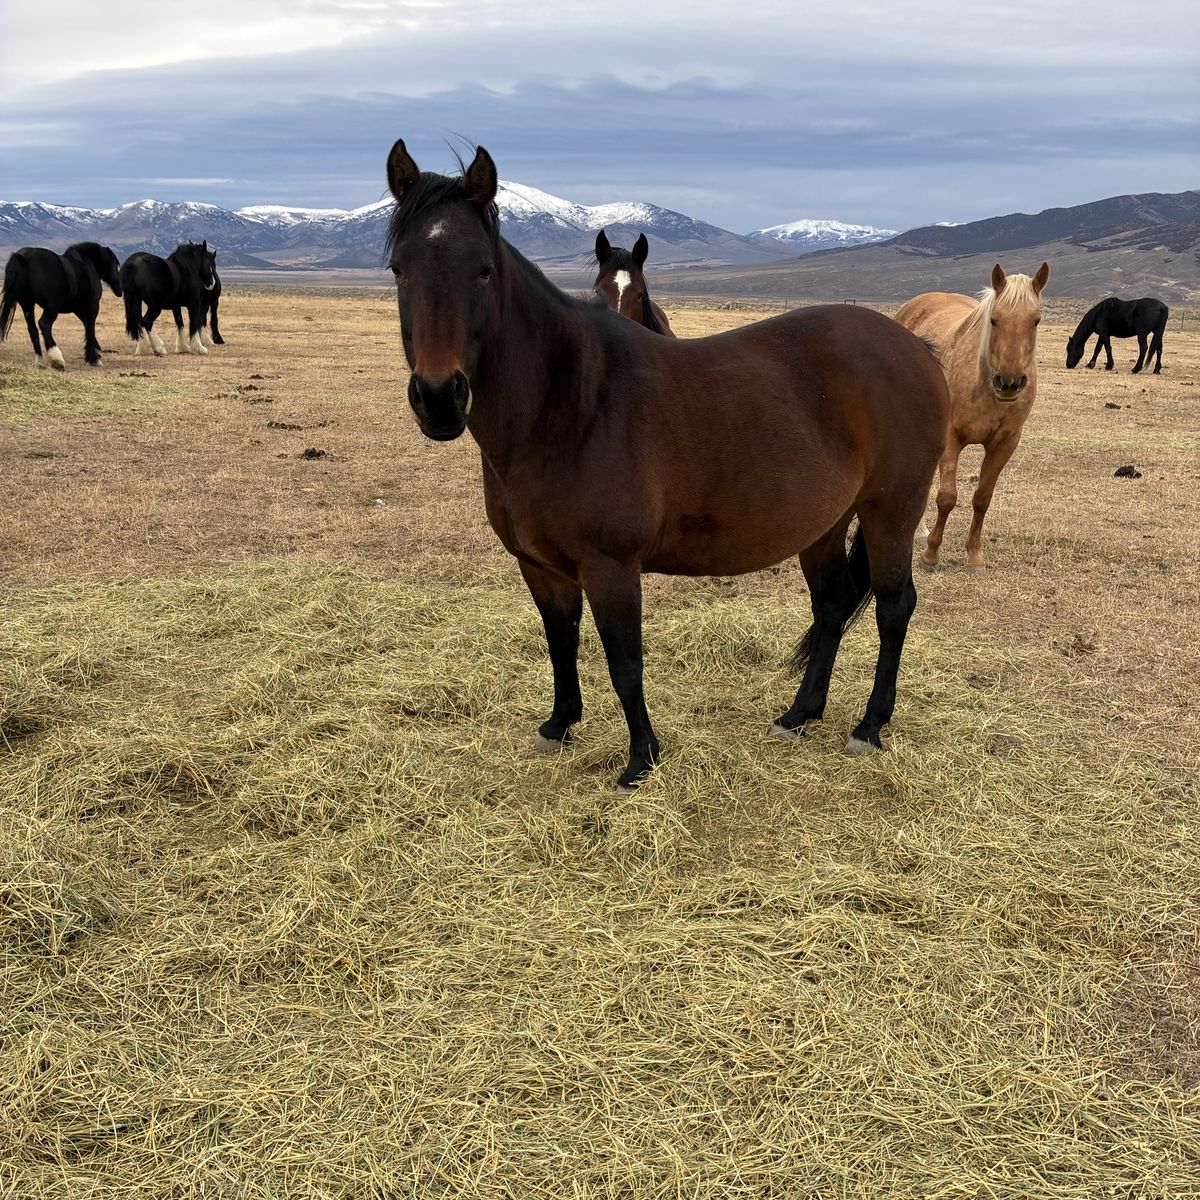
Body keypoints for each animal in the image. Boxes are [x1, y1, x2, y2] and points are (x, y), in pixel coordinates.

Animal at [382, 140, 950, 791]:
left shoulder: (610, 567)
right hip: (826, 526)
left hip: (890, 514)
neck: (566, 404)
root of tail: (915, 347)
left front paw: (640, 760)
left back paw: (869, 727)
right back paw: (798, 715)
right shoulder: (540, 567)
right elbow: (560, 643)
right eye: (398, 268)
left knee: (892, 607)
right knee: (832, 607)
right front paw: (559, 726)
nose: (439, 398)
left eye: (483, 269)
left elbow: (625, 663)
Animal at [894, 262, 1050, 573]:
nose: (1010, 382)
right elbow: (947, 497)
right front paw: (931, 554)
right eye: (994, 319)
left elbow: (982, 499)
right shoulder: (951, 436)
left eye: (1036, 320)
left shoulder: (1005, 444)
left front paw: (974, 556)